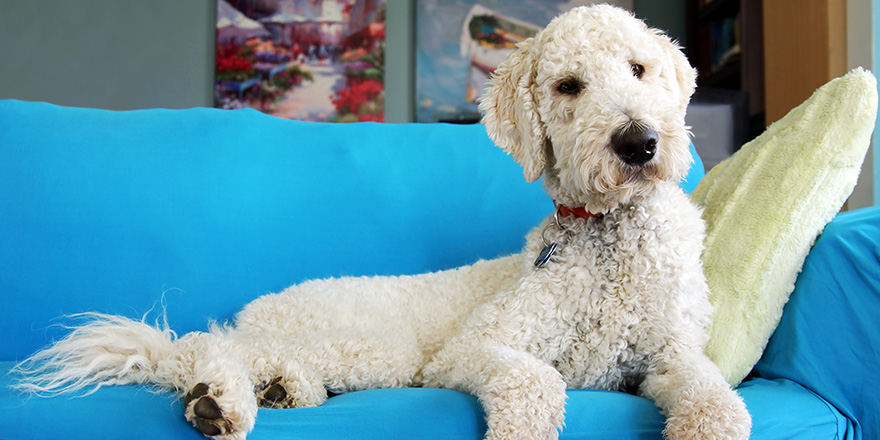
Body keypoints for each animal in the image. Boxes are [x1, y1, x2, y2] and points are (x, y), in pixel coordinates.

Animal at [15, 6, 748, 440]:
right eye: (569, 86)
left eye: (639, 69)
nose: (638, 143)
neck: (611, 240)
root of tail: (259, 309)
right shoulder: (474, 349)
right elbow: (535, 382)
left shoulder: (671, 358)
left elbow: (719, 402)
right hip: (378, 346)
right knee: (204, 346)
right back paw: (218, 398)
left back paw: (278, 391)